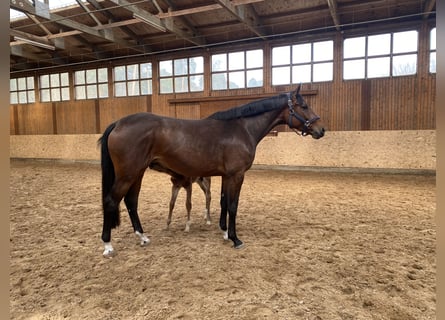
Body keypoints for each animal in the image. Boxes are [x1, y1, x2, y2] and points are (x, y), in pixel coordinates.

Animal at [99, 84, 324, 256]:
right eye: (304, 106)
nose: (321, 130)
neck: (241, 129)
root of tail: (118, 123)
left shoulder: (226, 176)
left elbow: (223, 202)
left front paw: (224, 232)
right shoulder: (237, 175)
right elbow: (233, 205)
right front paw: (235, 239)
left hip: (137, 173)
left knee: (131, 202)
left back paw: (142, 237)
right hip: (128, 174)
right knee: (111, 201)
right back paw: (108, 245)